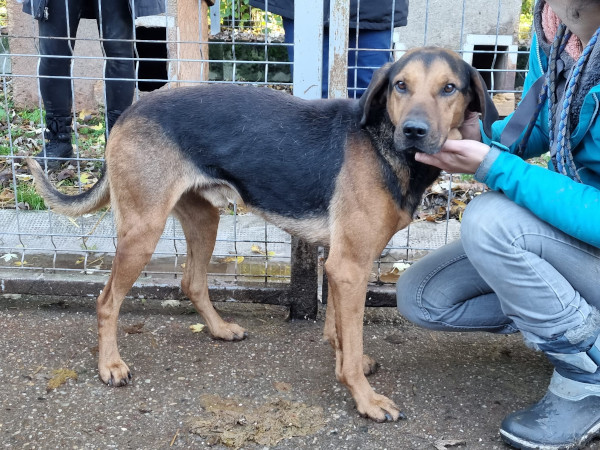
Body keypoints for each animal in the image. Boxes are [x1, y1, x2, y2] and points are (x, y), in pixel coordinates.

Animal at [29, 47, 497, 422]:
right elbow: (348, 342)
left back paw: (219, 330)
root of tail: (128, 112)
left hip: (204, 219)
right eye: (401, 85)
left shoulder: (340, 264)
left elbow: (339, 331)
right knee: (107, 301)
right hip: (143, 229)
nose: (414, 131)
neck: (381, 140)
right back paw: (110, 365)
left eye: (449, 88)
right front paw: (365, 400)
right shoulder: (350, 265)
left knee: (191, 281)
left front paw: (348, 359)